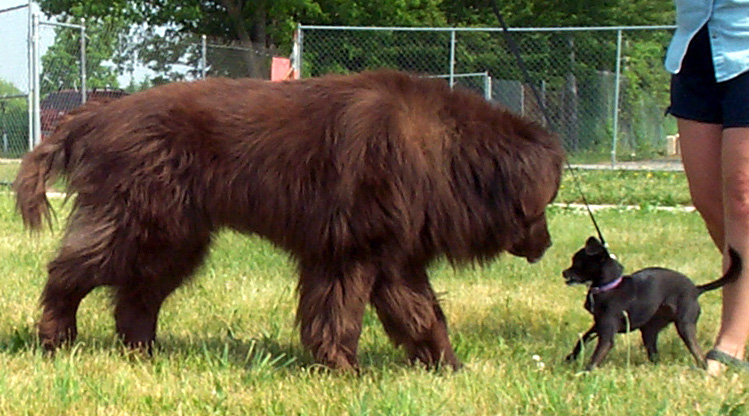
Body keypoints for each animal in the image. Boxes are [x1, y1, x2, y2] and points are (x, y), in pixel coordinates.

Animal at [14, 69, 560, 370]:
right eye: (545, 205)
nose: (550, 245)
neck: (446, 153)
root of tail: (94, 116)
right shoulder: (349, 253)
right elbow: (340, 316)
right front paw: (344, 370)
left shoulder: (392, 259)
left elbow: (423, 316)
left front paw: (448, 368)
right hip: (144, 228)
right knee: (68, 274)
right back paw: (55, 338)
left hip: (175, 242)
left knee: (135, 299)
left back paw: (145, 355)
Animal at [564, 237, 740, 370]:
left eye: (577, 262)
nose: (563, 272)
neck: (609, 286)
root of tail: (696, 290)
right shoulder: (599, 325)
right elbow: (582, 339)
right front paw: (571, 357)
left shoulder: (607, 334)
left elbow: (595, 357)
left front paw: (584, 374)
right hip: (649, 331)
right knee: (654, 353)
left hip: (685, 326)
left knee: (698, 353)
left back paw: (704, 368)